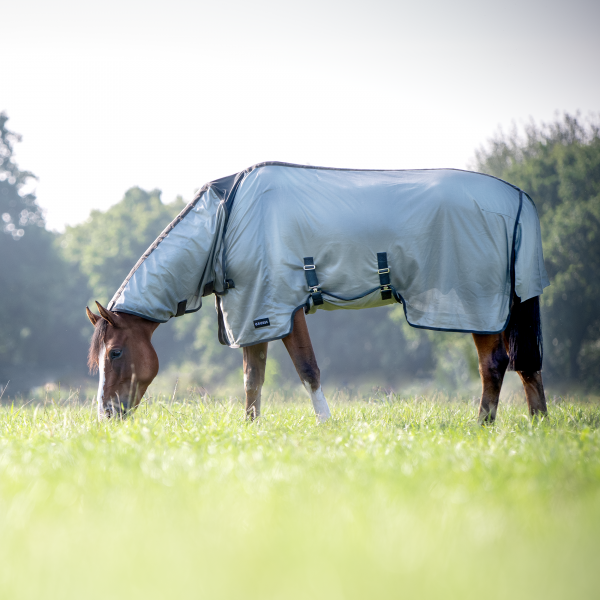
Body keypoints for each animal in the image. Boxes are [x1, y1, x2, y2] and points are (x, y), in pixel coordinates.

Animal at [85, 164, 548, 424]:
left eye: (115, 353)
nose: (106, 416)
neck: (225, 222)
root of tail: (519, 201)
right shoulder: (255, 313)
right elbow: (253, 378)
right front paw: (250, 429)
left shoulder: (281, 308)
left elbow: (307, 370)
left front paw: (326, 425)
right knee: (527, 366)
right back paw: (537, 425)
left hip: (479, 307)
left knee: (494, 365)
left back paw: (483, 426)